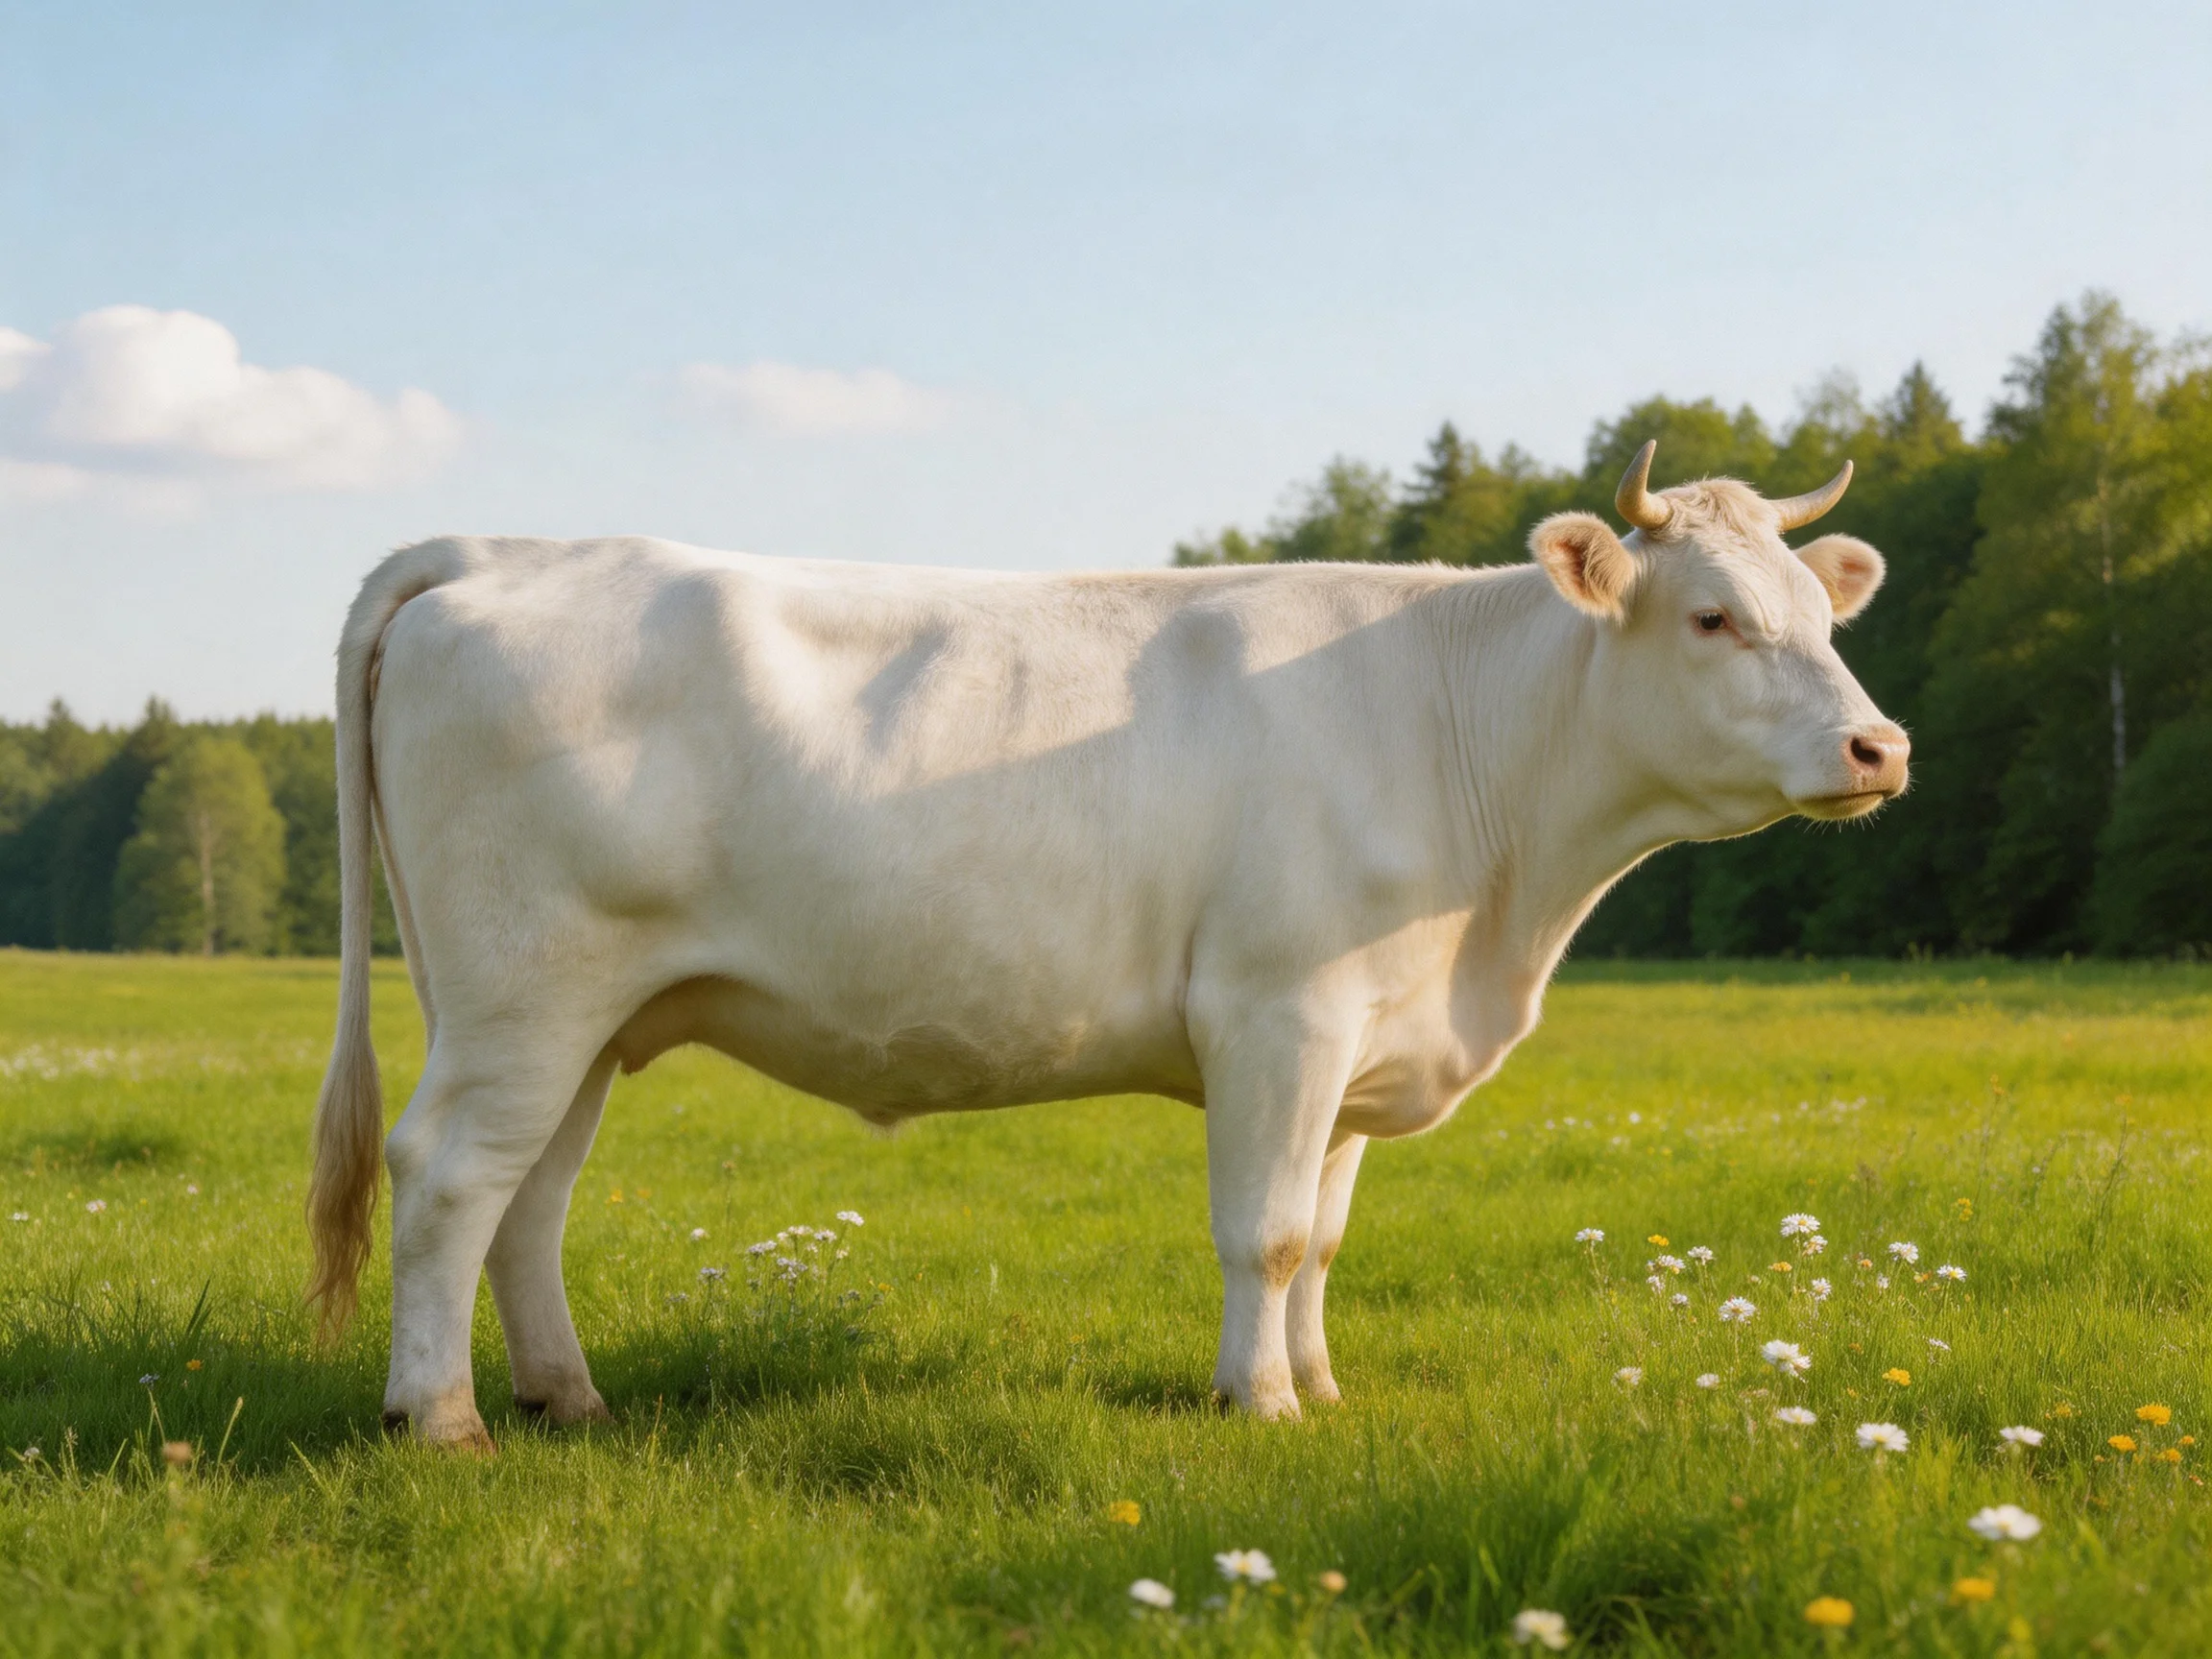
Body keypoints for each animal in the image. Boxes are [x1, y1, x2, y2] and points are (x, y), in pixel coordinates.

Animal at [306, 441, 1907, 1449]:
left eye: (1823, 614)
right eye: (1712, 617)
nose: (1879, 747)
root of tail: (503, 553)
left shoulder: (1359, 1041)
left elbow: (1322, 1236)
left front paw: (1318, 1390)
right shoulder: (1279, 1012)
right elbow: (1264, 1233)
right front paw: (1257, 1405)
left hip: (569, 1014)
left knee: (527, 1196)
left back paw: (564, 1398)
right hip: (524, 994)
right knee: (447, 1176)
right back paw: (438, 1419)